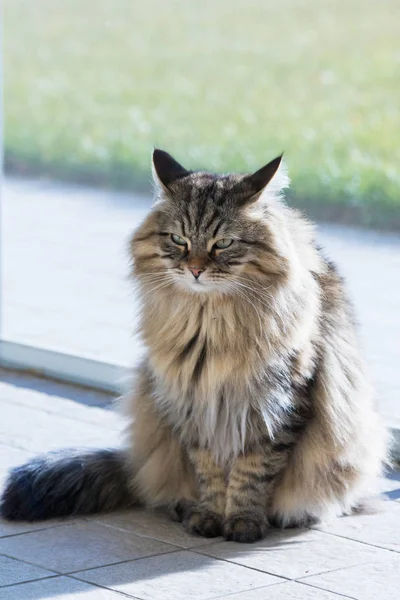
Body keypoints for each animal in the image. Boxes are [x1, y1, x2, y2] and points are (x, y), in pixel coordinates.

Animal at [0, 150, 388, 544]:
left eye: (224, 243)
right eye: (178, 239)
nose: (196, 269)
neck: (210, 328)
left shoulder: (278, 406)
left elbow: (253, 472)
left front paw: (243, 522)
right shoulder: (193, 404)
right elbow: (210, 473)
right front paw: (210, 516)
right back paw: (182, 507)